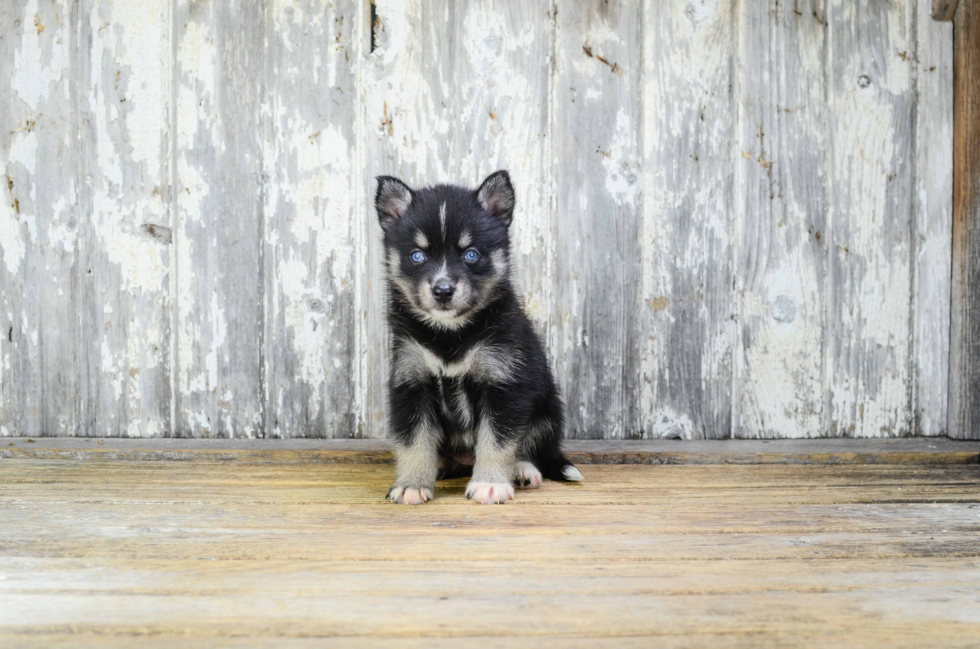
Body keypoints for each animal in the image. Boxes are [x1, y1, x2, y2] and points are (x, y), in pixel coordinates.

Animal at [378, 170, 584, 504]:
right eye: (417, 255)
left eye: (471, 254)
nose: (443, 291)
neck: (451, 334)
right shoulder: (411, 381)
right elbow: (413, 441)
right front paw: (411, 484)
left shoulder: (503, 383)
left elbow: (497, 440)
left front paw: (490, 483)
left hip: (547, 410)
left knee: (530, 447)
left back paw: (522, 470)